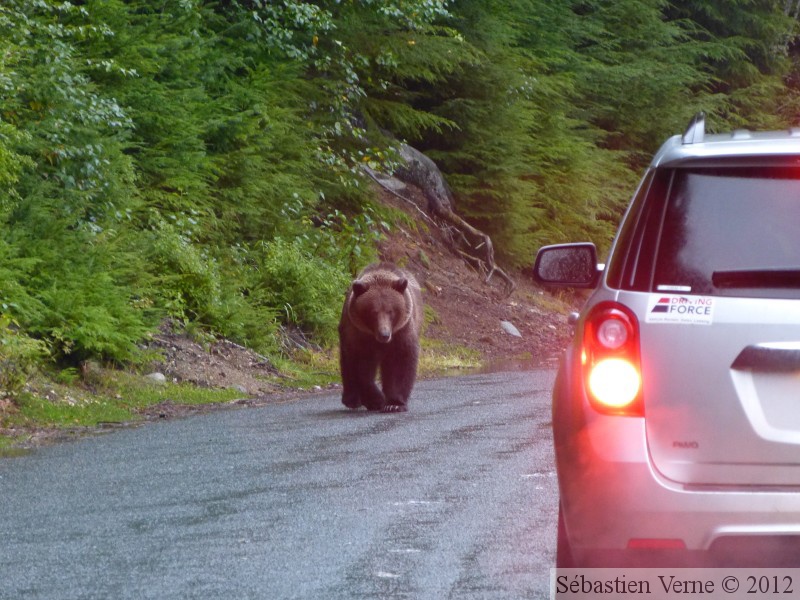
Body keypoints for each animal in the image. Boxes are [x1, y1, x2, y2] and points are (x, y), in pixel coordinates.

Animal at [340, 262, 424, 412]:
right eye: (373, 312)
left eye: (391, 311)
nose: (384, 334)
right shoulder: (357, 333)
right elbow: (360, 366)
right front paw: (376, 400)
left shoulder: (401, 331)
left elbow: (399, 362)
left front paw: (394, 404)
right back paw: (351, 400)